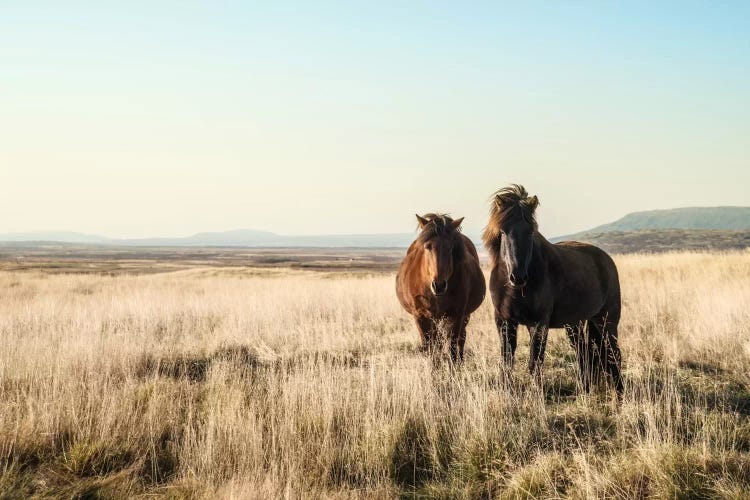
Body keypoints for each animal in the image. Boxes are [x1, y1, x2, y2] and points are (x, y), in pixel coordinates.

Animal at [400, 213, 488, 362]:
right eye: (427, 246)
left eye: (450, 248)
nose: (439, 285)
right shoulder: (420, 316)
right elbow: (429, 346)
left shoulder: (456, 315)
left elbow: (452, 345)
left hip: (462, 316)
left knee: (461, 339)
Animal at [484, 186, 624, 396]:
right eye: (502, 231)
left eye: (531, 231)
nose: (518, 277)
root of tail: (606, 259)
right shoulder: (504, 322)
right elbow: (507, 361)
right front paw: (506, 393)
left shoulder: (538, 324)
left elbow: (535, 362)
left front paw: (536, 396)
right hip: (575, 324)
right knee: (584, 354)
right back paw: (585, 389)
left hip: (607, 320)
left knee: (613, 354)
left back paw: (620, 393)